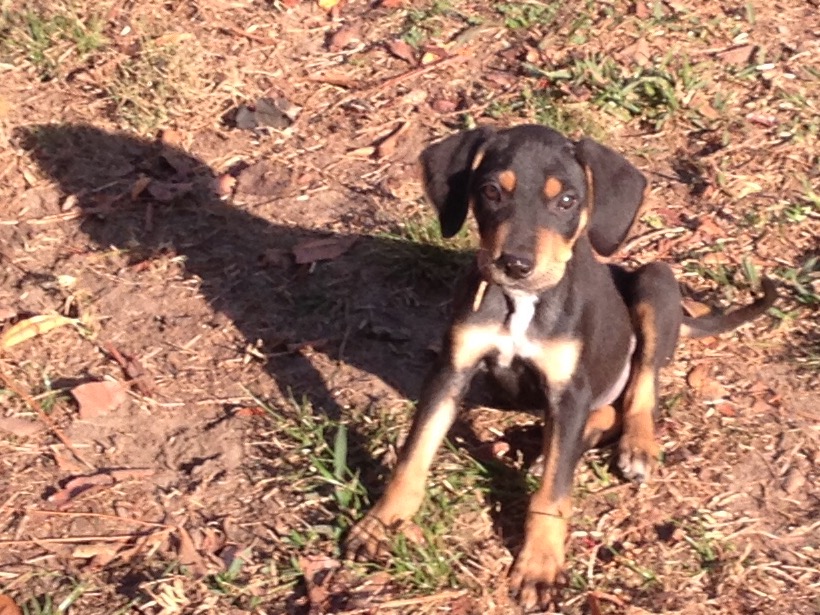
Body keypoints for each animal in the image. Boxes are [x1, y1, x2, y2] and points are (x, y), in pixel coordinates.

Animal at [345, 124, 776, 610]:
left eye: (567, 200)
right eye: (491, 191)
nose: (515, 264)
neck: (522, 303)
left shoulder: (568, 391)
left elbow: (553, 494)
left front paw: (538, 566)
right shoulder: (451, 370)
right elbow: (413, 454)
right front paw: (381, 523)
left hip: (656, 282)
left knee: (638, 390)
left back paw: (636, 446)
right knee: (602, 414)